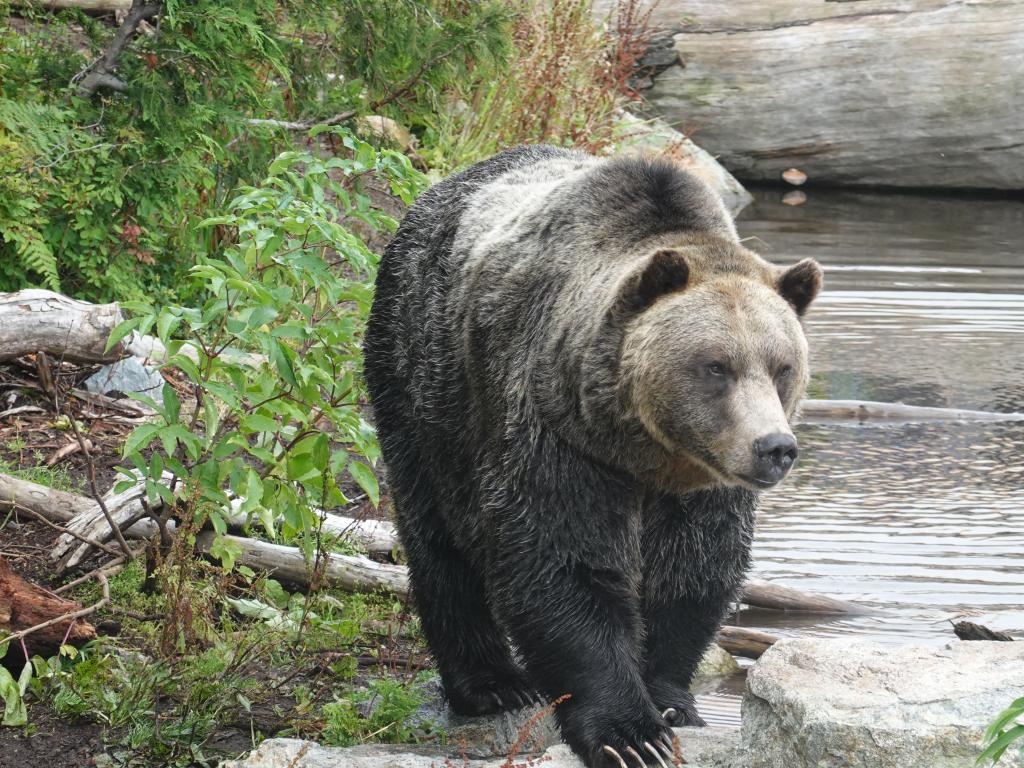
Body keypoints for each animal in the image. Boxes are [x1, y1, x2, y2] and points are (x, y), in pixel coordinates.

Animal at [364, 145, 819, 768]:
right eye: (716, 366)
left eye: (782, 366)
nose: (774, 448)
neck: (644, 451)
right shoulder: (557, 430)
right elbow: (562, 560)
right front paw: (629, 733)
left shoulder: (703, 482)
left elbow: (695, 567)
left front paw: (671, 701)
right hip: (422, 376)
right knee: (438, 531)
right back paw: (492, 683)